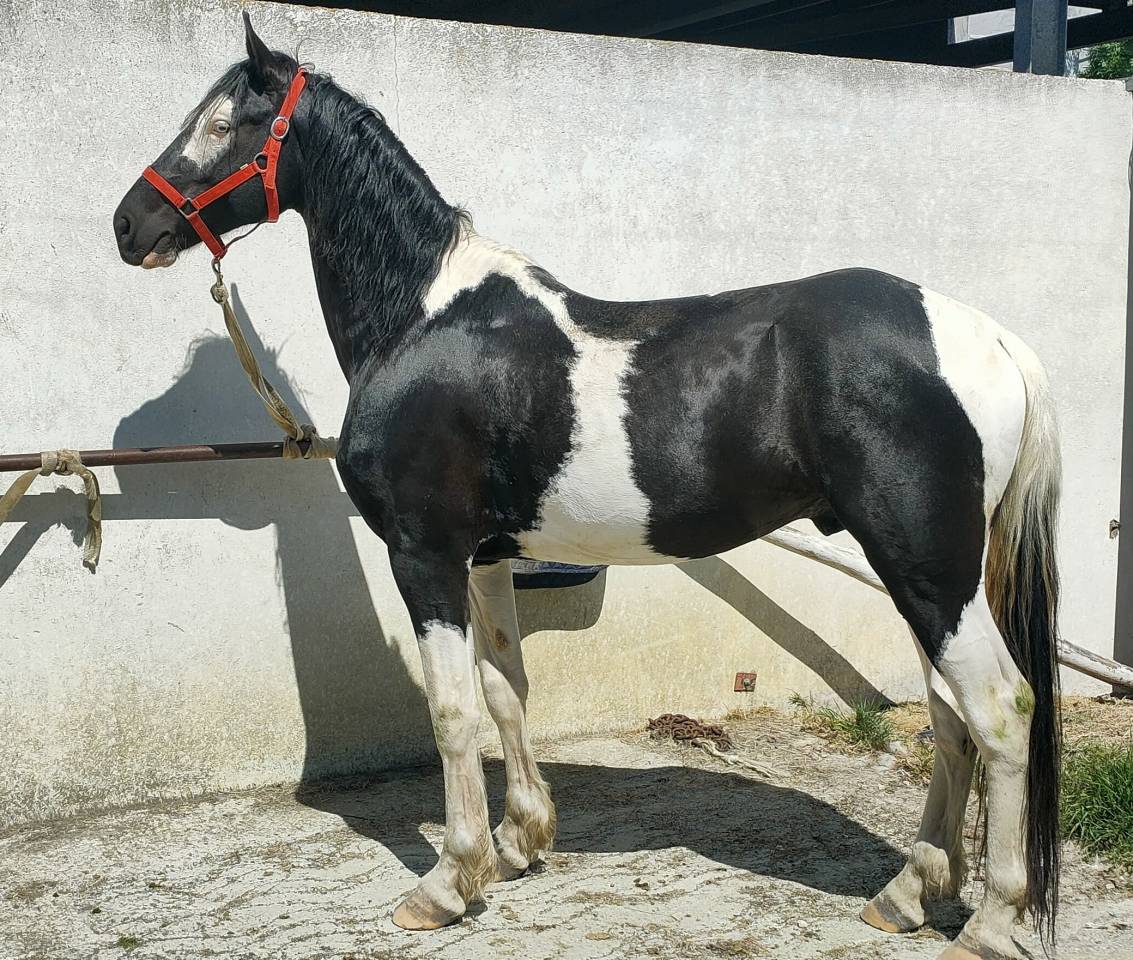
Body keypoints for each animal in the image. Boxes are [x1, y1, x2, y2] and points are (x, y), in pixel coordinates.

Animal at [112, 16, 1062, 960]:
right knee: (948, 718)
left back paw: (992, 919)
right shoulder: (487, 558)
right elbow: (505, 688)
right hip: (923, 573)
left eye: (224, 123)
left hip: (928, 567)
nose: (128, 224)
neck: (423, 319)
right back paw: (907, 894)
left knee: (999, 709)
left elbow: (452, 710)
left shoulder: (424, 554)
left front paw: (448, 881)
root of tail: (992, 340)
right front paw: (518, 843)